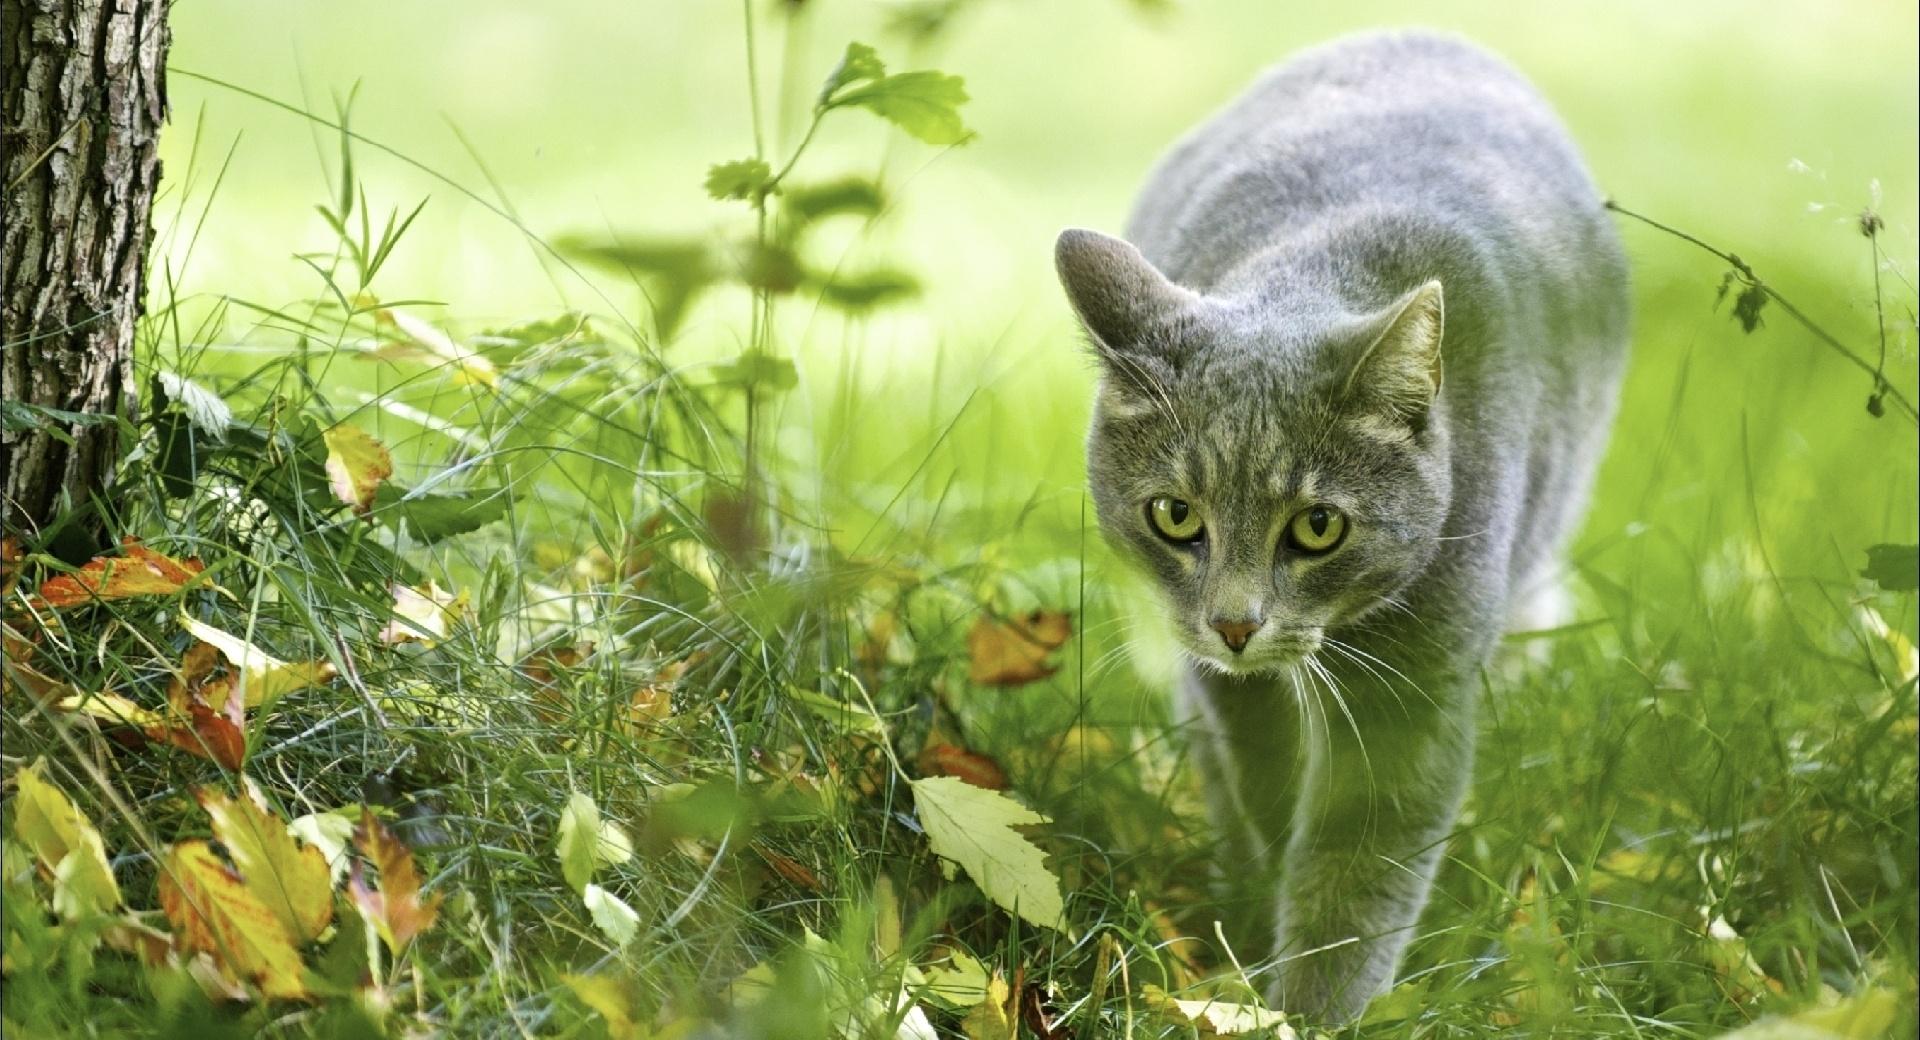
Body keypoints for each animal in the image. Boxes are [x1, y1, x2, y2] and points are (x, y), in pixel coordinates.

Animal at [1059, 30, 1628, 1028]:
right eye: (1175, 514)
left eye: (1319, 526)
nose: (1235, 623)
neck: (1315, 261)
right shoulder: (1228, 690)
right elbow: (1266, 782)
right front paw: (1259, 925)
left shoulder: (1416, 685)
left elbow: (1358, 864)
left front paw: (1306, 1012)